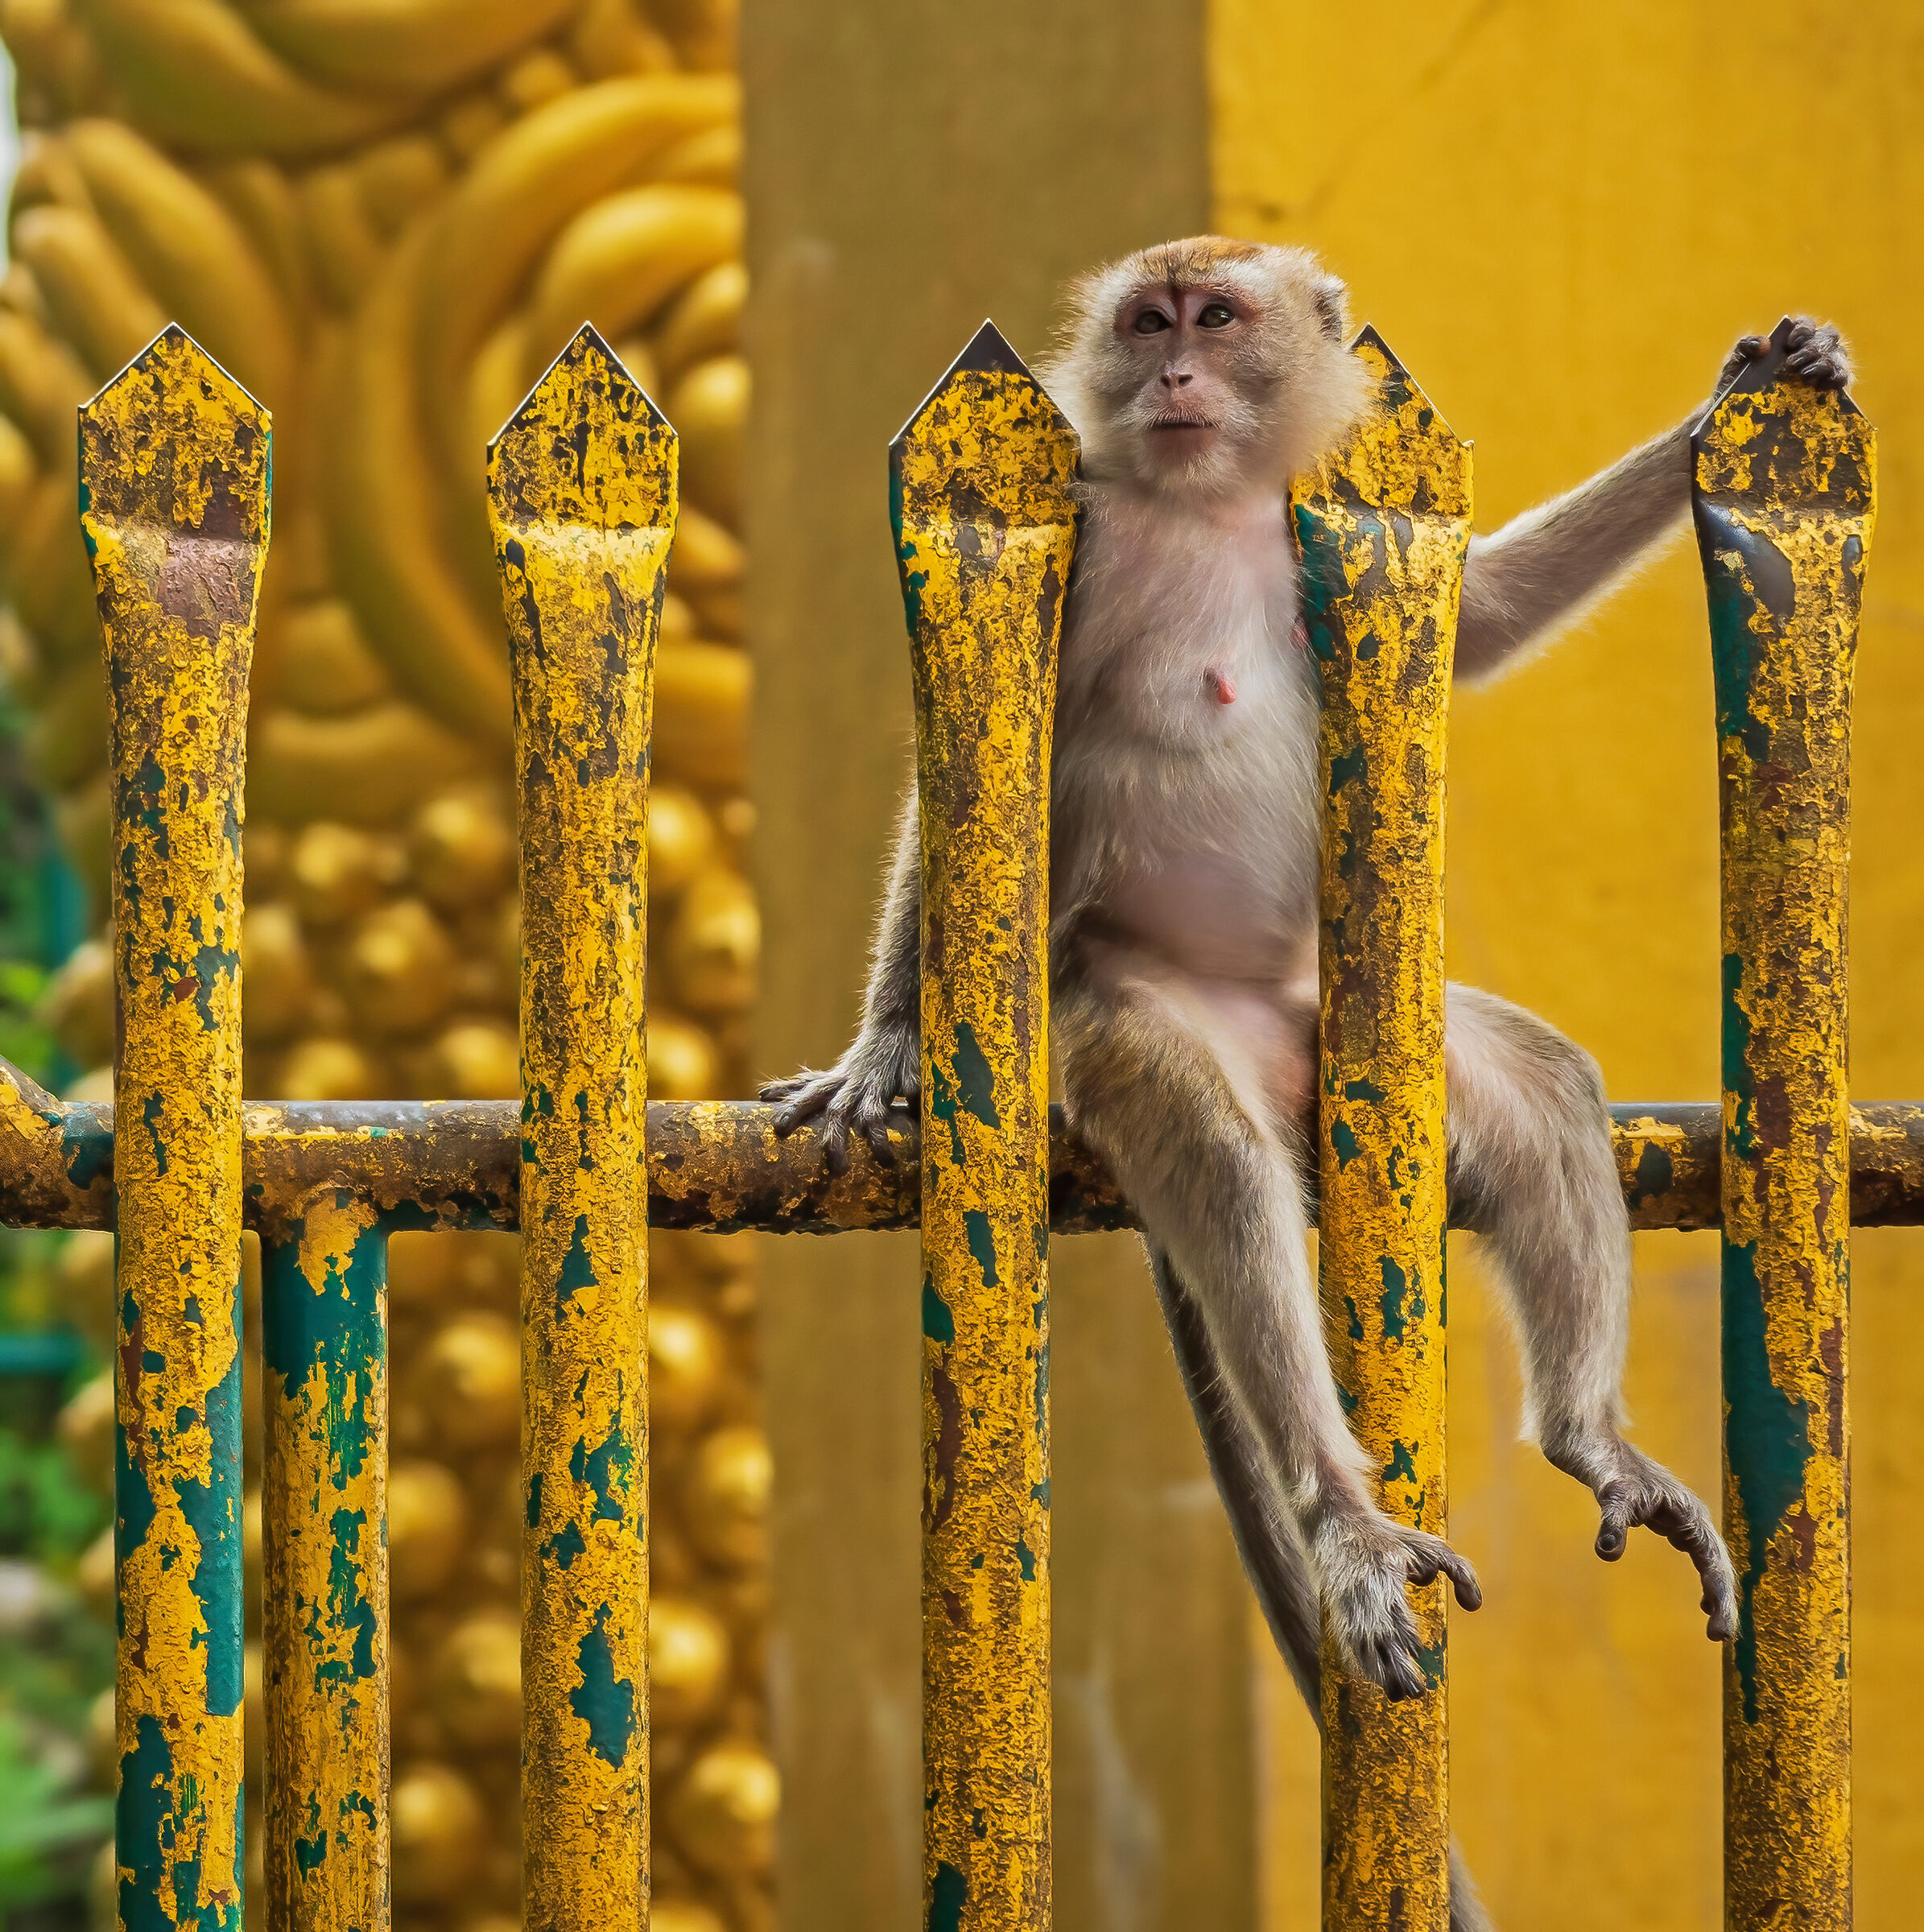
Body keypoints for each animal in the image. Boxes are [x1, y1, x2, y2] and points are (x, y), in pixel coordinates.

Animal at [761, 236, 1849, 1918]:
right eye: (1150, 322)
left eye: (1217, 320)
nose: (1173, 372)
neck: (1206, 509)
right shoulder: (1078, 555)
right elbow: (978, 778)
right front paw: (882, 1038)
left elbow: (1482, 616)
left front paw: (1742, 388)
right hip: (1133, 1017)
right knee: (1214, 1151)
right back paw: (1345, 1510)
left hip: (1332, 1033)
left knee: (1544, 1089)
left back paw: (1583, 1437)